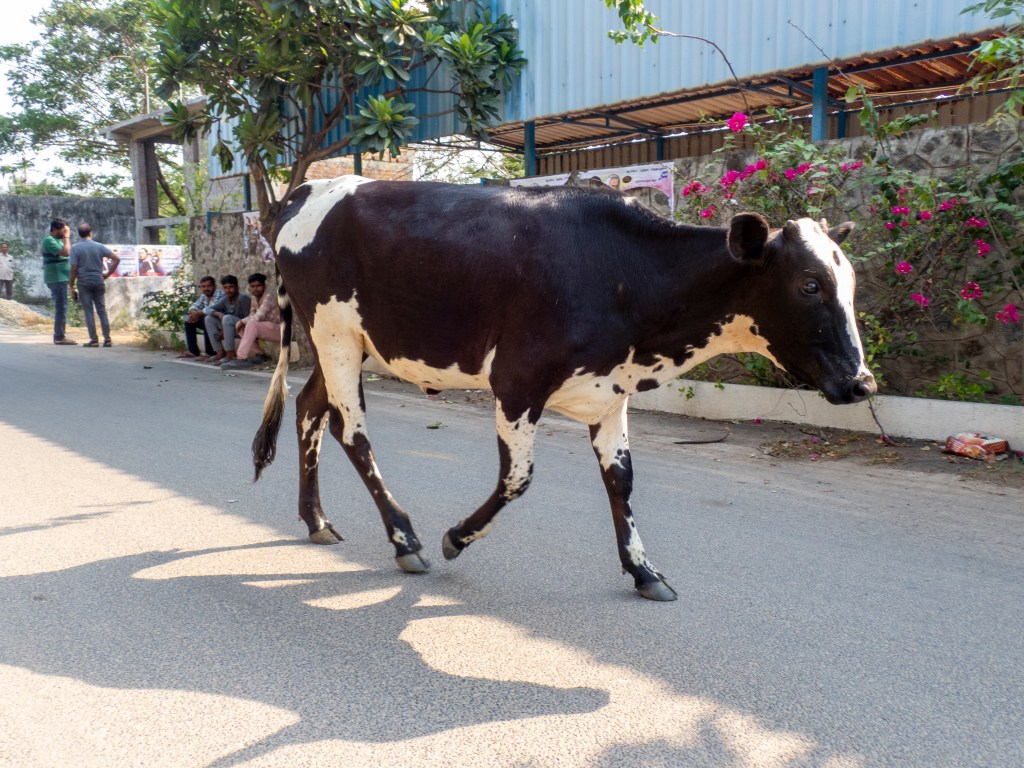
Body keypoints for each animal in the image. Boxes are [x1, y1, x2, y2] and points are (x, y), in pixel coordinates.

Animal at [252, 176, 876, 601]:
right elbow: (519, 478)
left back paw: (317, 520)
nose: (862, 382)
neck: (622, 270)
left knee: (309, 410)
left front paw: (644, 572)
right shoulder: (516, 380)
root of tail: (305, 190)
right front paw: (457, 536)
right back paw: (406, 539)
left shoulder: (610, 390)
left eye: (850, 282)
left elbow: (621, 481)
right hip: (333, 333)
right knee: (351, 431)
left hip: (345, 343)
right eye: (810, 283)